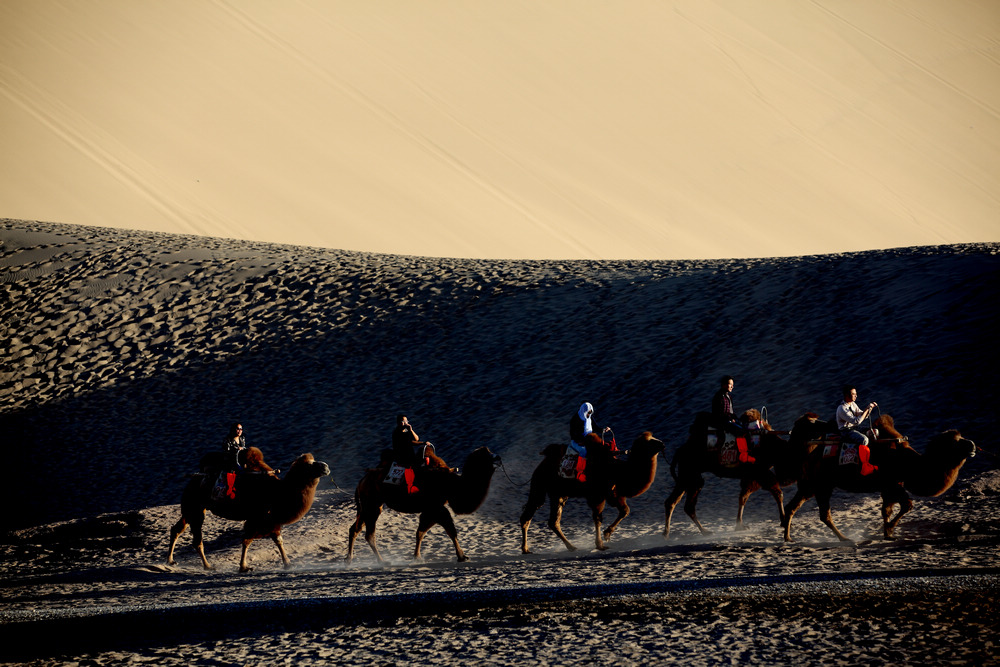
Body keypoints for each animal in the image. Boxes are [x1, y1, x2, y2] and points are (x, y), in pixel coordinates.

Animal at [166, 452, 330, 572]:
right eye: (309, 465)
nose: (326, 466)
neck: (278, 492)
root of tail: (191, 481)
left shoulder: (270, 520)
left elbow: (278, 540)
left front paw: (288, 564)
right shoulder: (256, 518)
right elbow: (247, 541)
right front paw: (243, 567)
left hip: (192, 508)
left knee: (177, 529)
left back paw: (170, 561)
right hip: (195, 508)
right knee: (196, 540)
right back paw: (208, 566)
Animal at [346, 448, 500, 564]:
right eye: (486, 455)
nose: (498, 457)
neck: (453, 485)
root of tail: (361, 481)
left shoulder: (431, 509)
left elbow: (421, 532)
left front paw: (417, 557)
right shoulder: (436, 507)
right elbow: (450, 531)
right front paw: (462, 556)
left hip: (369, 505)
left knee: (355, 529)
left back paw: (348, 560)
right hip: (371, 503)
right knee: (369, 534)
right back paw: (382, 561)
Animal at [520, 430, 668, 556]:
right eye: (649, 442)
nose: (662, 444)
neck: (620, 471)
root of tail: (541, 464)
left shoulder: (615, 494)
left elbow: (625, 511)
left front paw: (607, 534)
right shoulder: (598, 496)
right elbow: (598, 519)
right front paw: (601, 544)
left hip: (559, 494)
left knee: (553, 521)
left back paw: (570, 547)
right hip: (540, 486)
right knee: (530, 513)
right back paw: (526, 549)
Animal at [664, 408, 796, 544]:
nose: (789, 479)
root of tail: (680, 450)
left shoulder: (751, 476)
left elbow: (743, 497)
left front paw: (740, 525)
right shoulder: (760, 472)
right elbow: (778, 494)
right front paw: (785, 522)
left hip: (686, 477)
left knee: (674, 502)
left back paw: (672, 533)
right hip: (690, 475)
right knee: (686, 505)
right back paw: (699, 532)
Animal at [780, 414, 976, 544]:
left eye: (962, 437)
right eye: (956, 442)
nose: (973, 445)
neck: (910, 464)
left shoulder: (889, 486)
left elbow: (886, 510)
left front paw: (888, 534)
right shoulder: (892, 483)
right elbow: (907, 505)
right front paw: (889, 530)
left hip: (811, 485)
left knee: (795, 507)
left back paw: (788, 537)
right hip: (820, 484)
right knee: (823, 513)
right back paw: (845, 539)